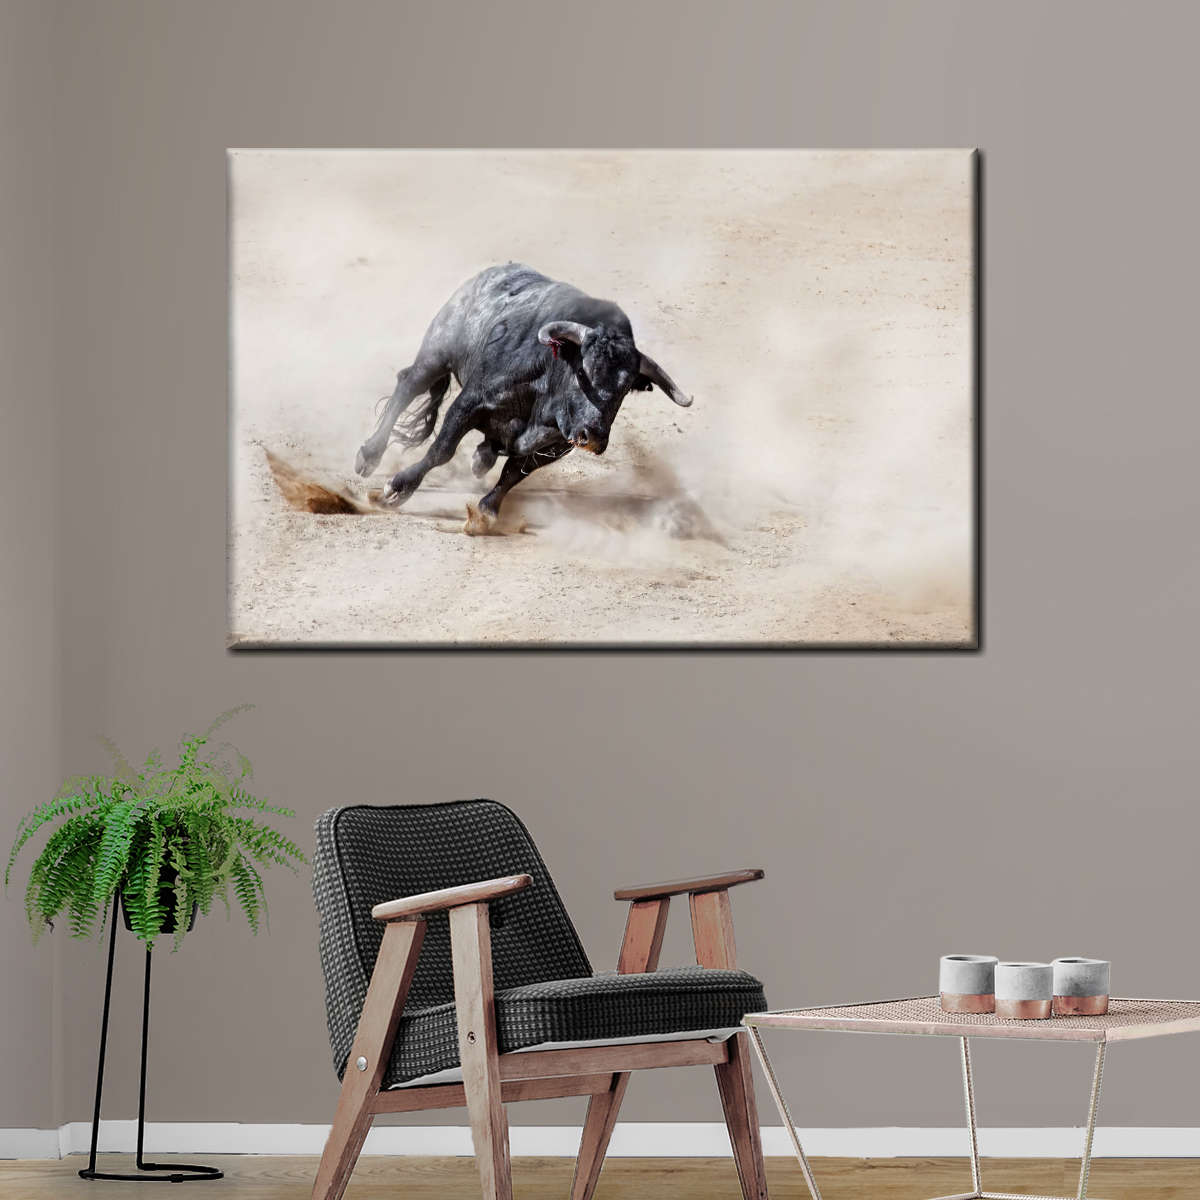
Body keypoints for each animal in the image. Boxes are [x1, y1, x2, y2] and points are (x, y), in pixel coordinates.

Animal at [354, 263, 692, 533]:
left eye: (624, 388)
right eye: (583, 370)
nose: (594, 436)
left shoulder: (554, 446)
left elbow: (513, 473)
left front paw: (486, 514)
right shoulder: (469, 403)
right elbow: (442, 450)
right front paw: (396, 489)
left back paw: (482, 457)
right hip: (436, 353)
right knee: (408, 385)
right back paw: (369, 455)